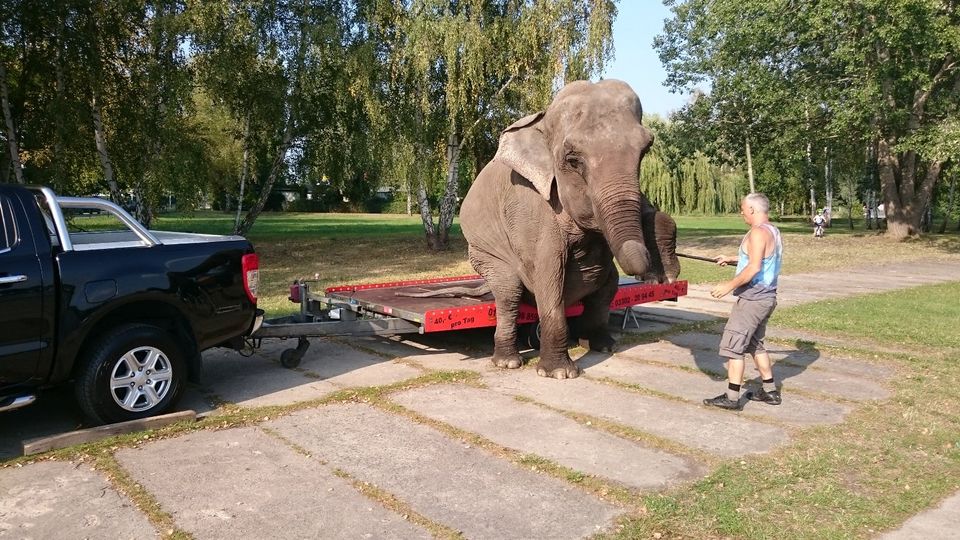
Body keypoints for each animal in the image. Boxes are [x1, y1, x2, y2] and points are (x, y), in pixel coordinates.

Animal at [460, 79, 680, 380]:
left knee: (607, 288)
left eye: (645, 150)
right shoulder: (531, 207)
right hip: (484, 254)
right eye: (573, 160)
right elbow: (549, 276)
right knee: (509, 294)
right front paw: (559, 373)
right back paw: (507, 362)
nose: (652, 279)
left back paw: (602, 345)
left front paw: (665, 271)